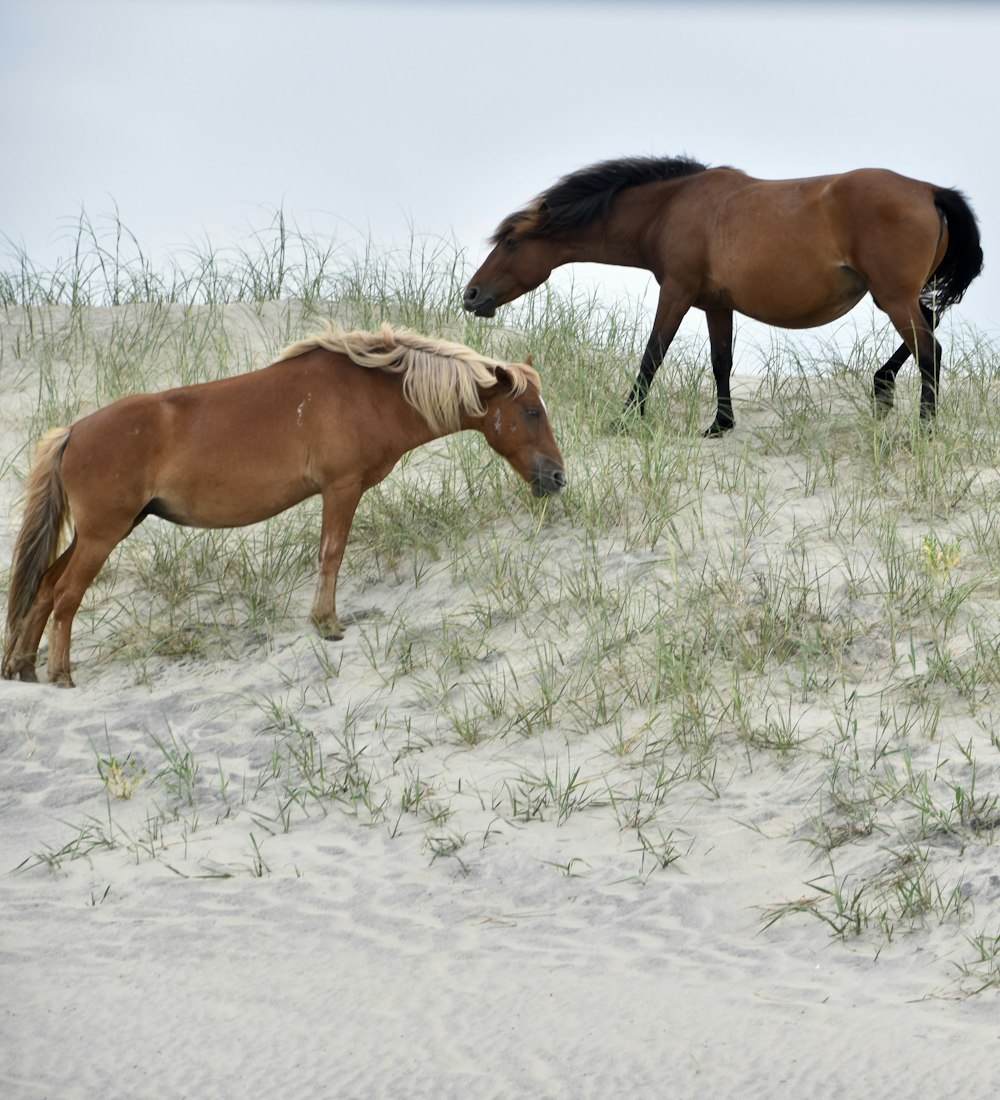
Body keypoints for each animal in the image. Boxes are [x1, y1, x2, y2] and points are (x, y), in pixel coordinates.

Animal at [0, 321, 567, 686]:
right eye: (532, 411)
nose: (558, 478)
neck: (371, 392)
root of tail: (74, 431)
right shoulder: (342, 488)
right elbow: (332, 554)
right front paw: (327, 623)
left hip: (103, 531)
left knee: (45, 587)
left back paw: (24, 665)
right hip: (102, 535)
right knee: (66, 594)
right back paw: (60, 673)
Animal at [462, 156, 981, 437]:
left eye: (512, 242)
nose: (471, 296)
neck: (671, 207)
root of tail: (930, 191)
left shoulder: (676, 293)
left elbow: (652, 355)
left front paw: (625, 419)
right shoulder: (717, 305)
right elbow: (721, 362)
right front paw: (720, 425)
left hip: (893, 297)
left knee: (930, 350)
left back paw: (922, 426)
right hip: (898, 296)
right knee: (929, 331)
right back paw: (882, 388)